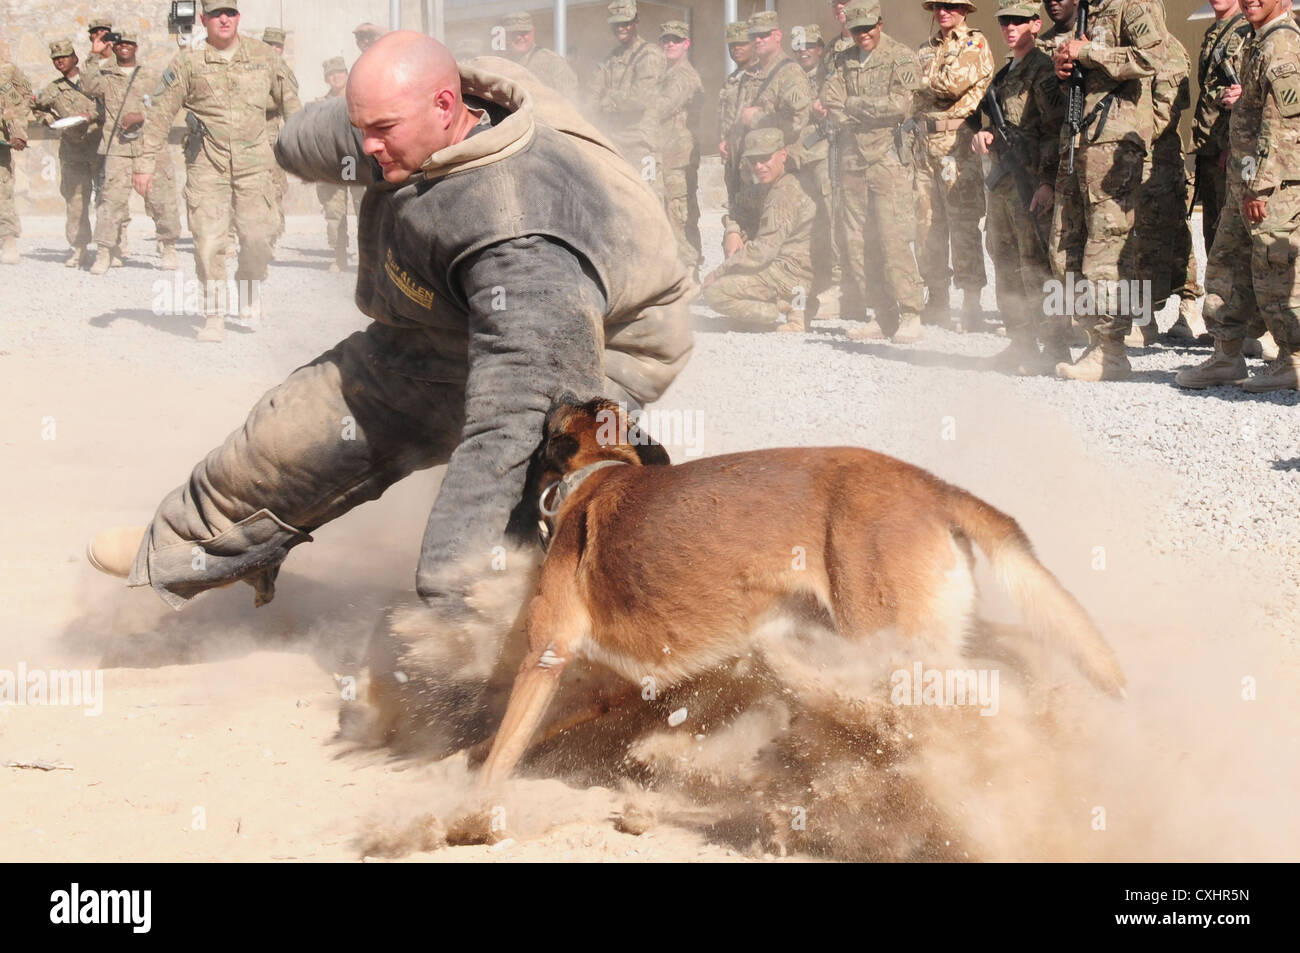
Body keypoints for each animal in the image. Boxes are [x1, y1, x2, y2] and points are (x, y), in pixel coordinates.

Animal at [478, 395, 1128, 790]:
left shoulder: (546, 653)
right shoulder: (611, 686)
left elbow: (503, 750)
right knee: (1017, 653)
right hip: (928, 631)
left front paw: (473, 809)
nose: (558, 389)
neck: (596, 476)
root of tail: (930, 485)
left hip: (891, 644)